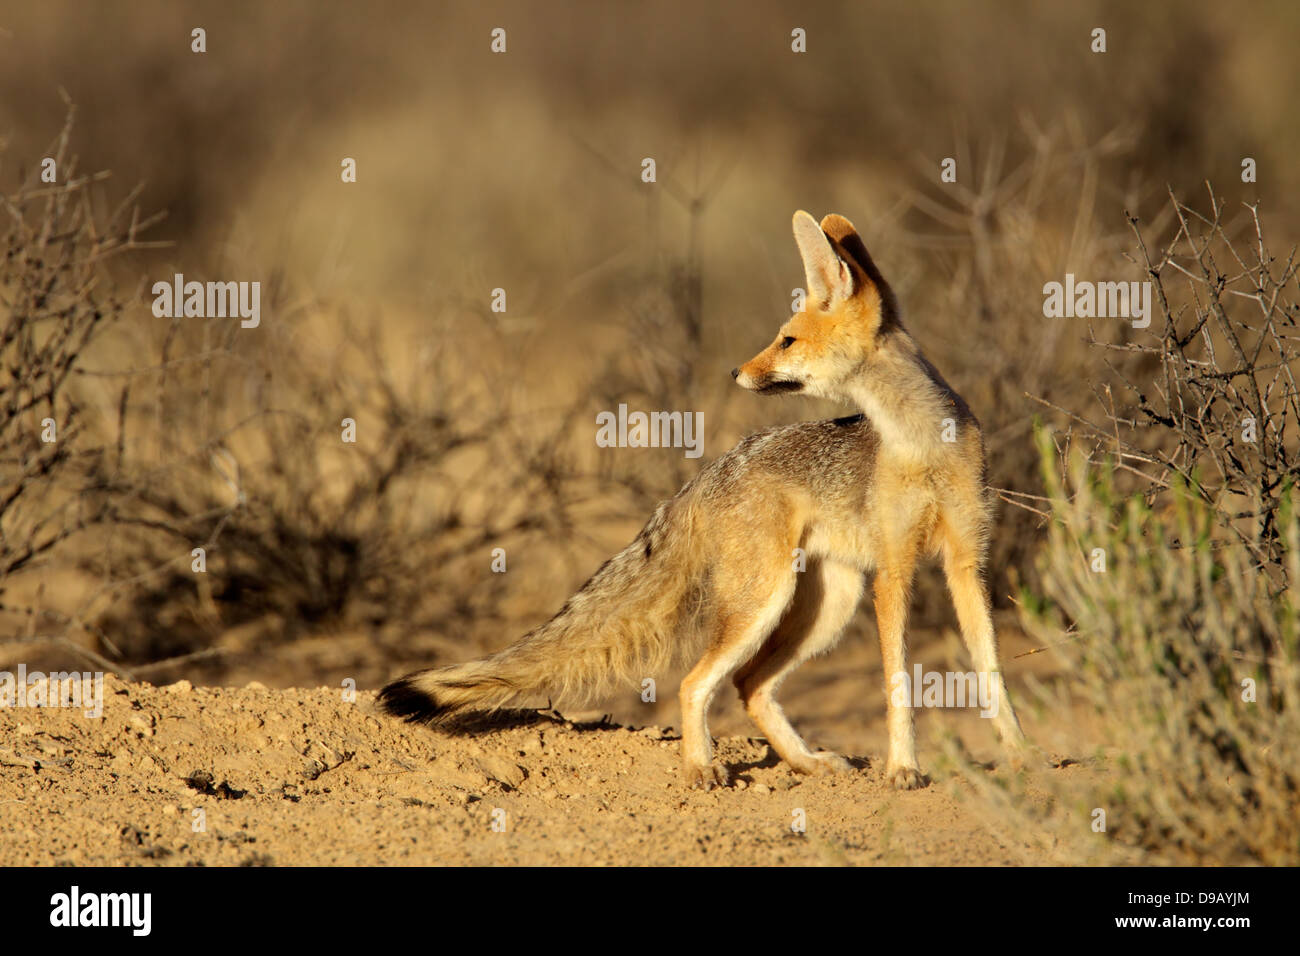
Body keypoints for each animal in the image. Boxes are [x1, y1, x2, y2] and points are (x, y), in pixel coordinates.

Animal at [379, 210, 1029, 790]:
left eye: (786, 340)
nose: (736, 372)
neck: (924, 443)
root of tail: (711, 471)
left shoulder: (965, 562)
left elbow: (991, 672)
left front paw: (1022, 756)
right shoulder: (895, 571)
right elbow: (898, 683)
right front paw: (903, 769)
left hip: (826, 605)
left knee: (749, 686)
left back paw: (805, 763)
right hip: (770, 600)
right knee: (699, 682)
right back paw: (701, 766)